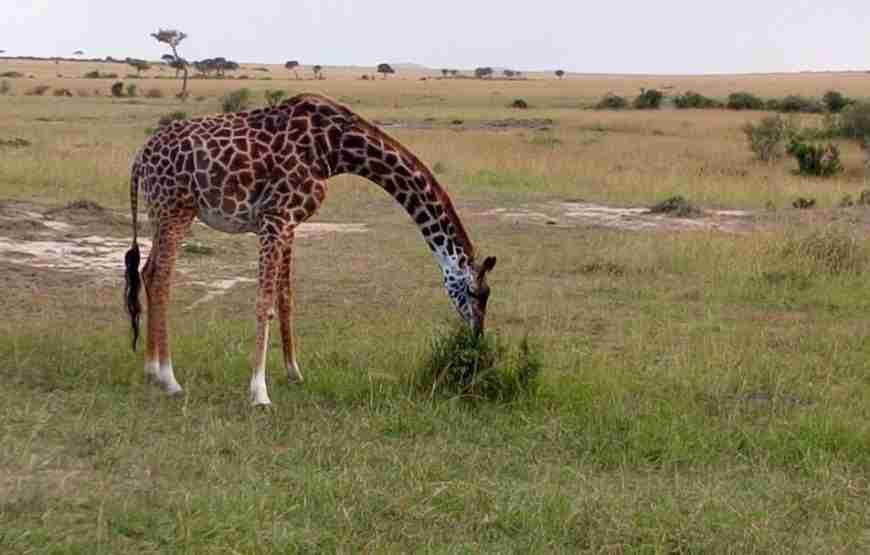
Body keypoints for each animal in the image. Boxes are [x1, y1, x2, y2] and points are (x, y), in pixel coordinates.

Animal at [124, 93, 498, 406]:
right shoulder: (275, 218)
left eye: (486, 295)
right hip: (176, 210)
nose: (477, 337)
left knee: (147, 271)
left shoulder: (289, 223)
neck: (337, 149)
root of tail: (140, 157)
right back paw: (169, 379)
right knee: (162, 279)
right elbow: (264, 304)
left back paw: (150, 370)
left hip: (160, 214)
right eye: (476, 293)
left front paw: (294, 372)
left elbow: (285, 299)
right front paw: (259, 393)